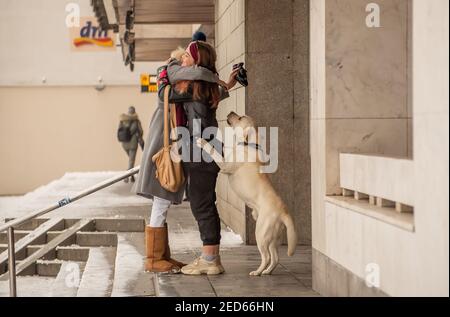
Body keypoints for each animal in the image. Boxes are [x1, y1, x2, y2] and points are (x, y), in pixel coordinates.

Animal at [196, 111, 296, 274]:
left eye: (241, 118)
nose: (231, 112)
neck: (249, 144)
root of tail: (284, 213)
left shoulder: (225, 165)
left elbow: (214, 152)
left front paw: (203, 142)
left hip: (261, 233)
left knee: (266, 257)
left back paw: (258, 272)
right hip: (273, 238)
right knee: (275, 258)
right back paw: (267, 272)